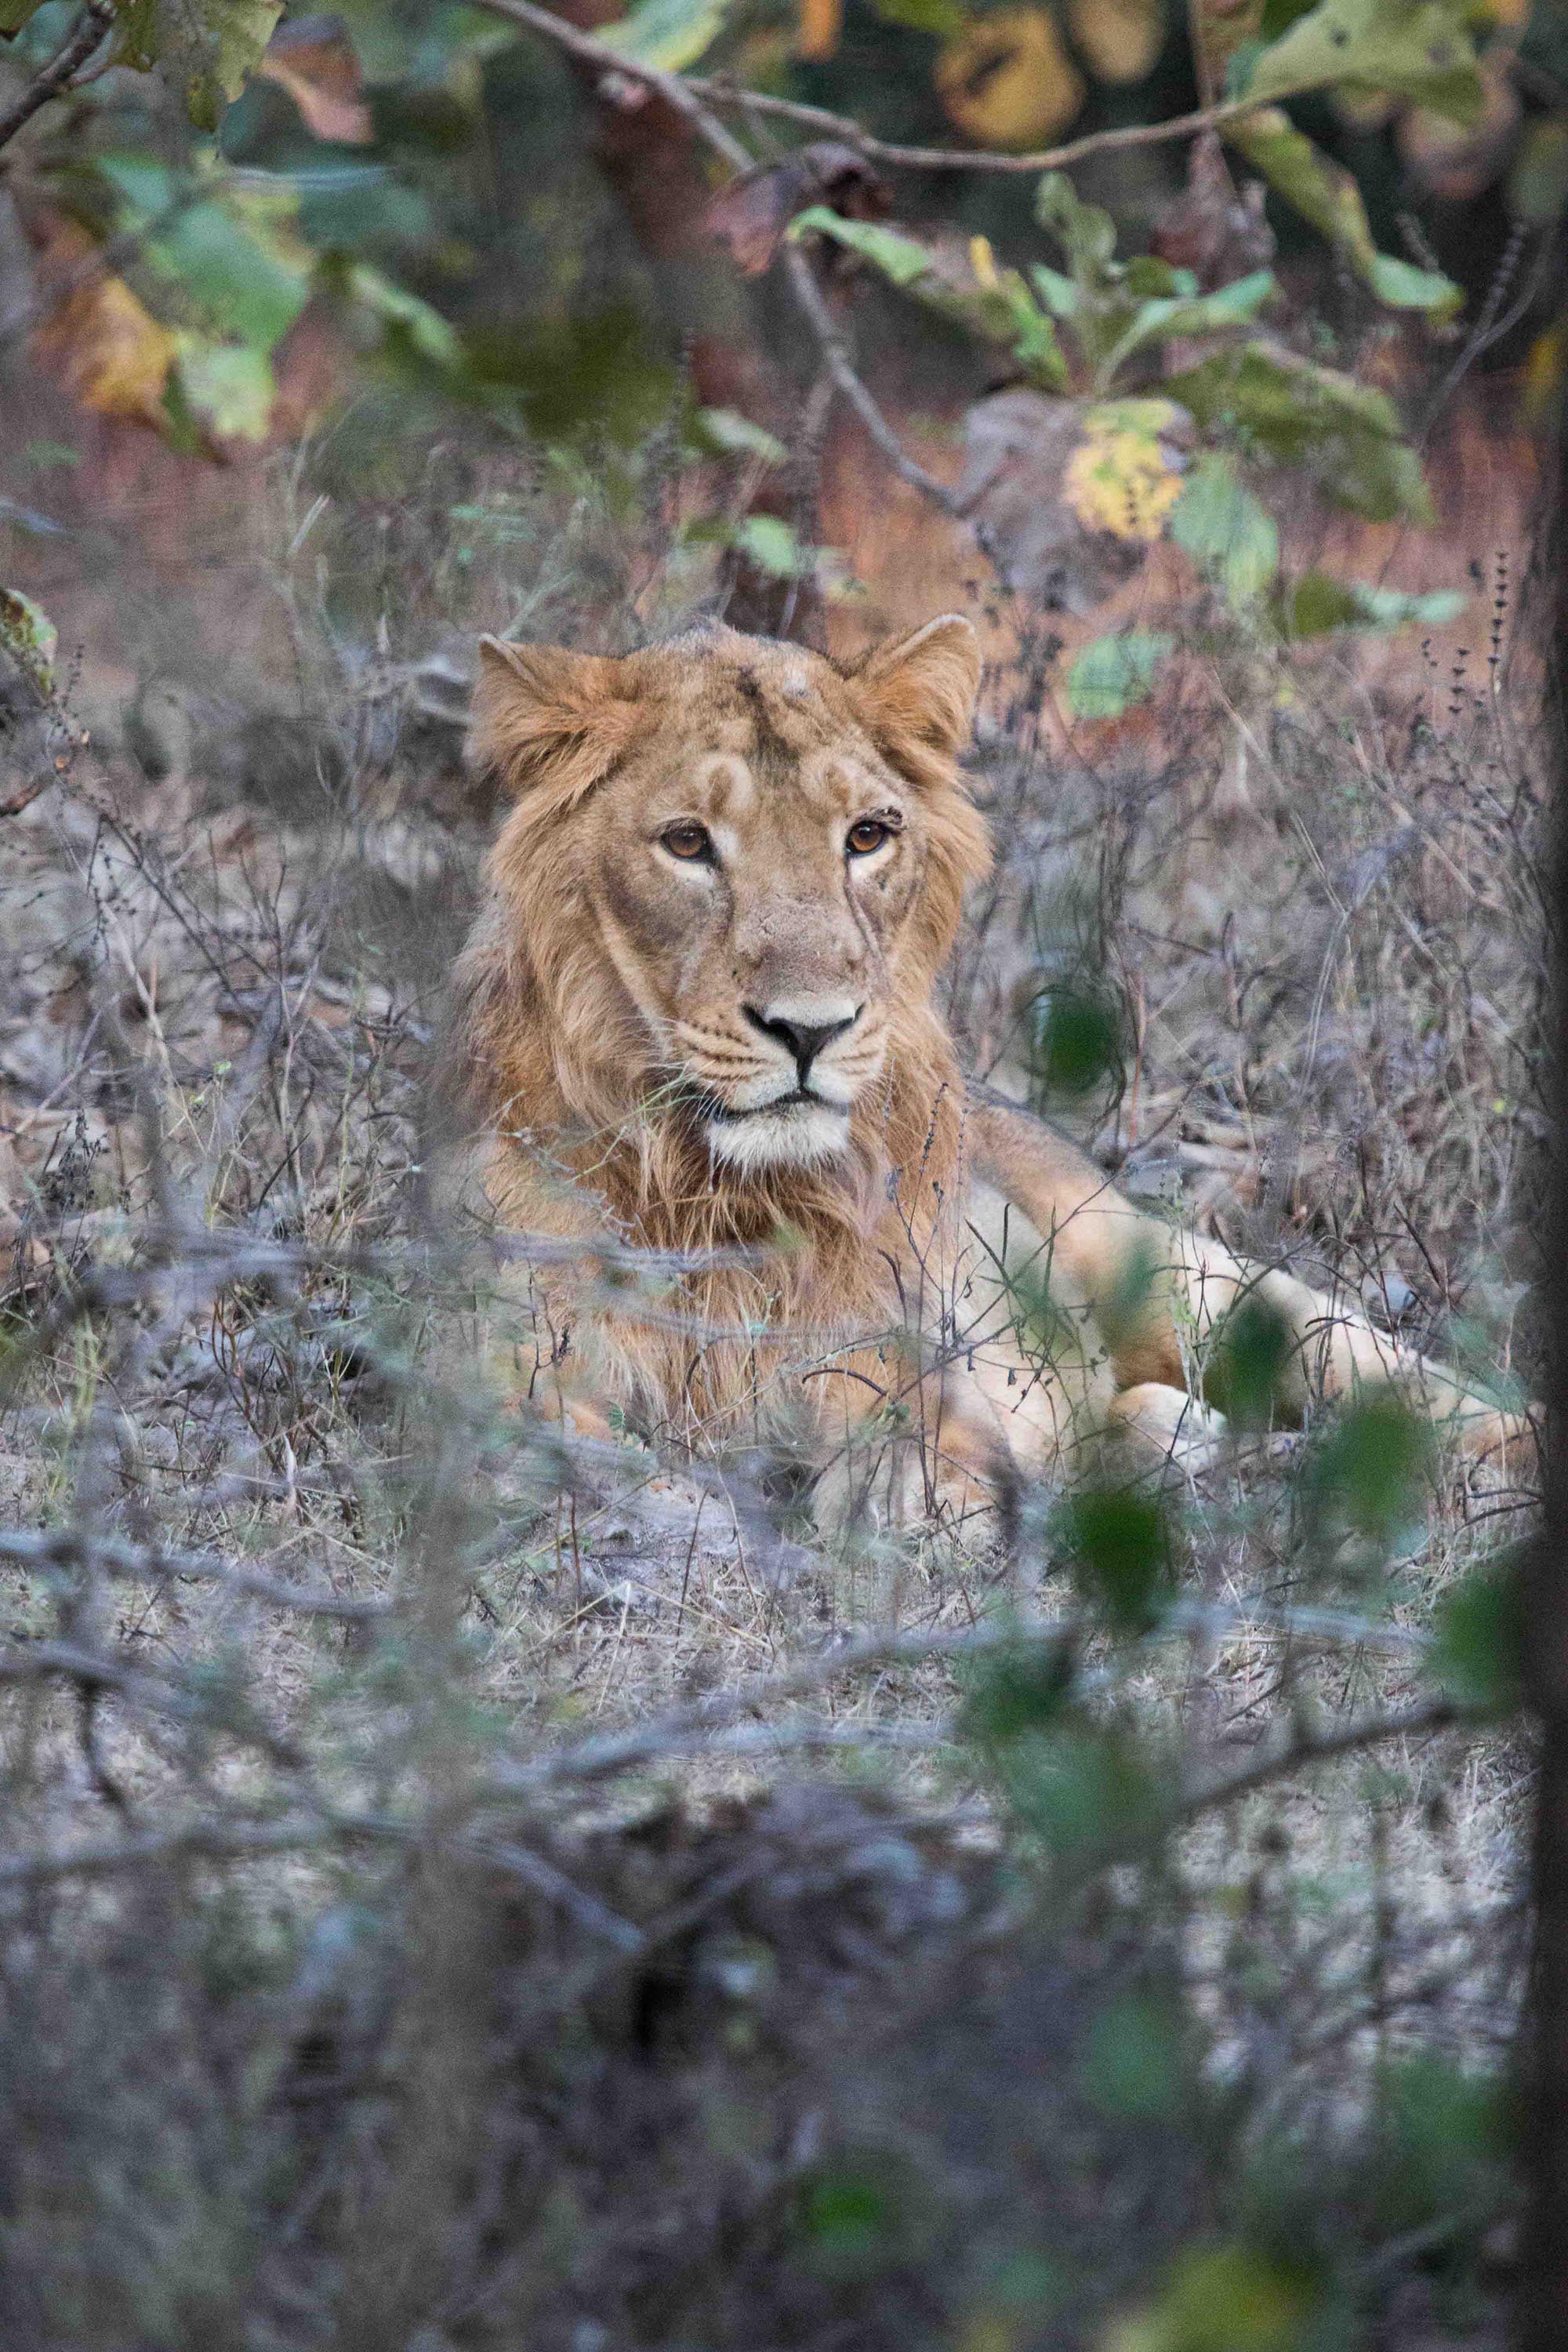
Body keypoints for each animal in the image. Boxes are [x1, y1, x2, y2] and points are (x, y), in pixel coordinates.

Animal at [444, 607, 1533, 1534]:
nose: (810, 1031)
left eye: (866, 836)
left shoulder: (910, 1366)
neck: (714, 1193)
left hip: (1195, 1283)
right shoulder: (485, 1366)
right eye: (685, 842)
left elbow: (918, 1469)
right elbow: (562, 1455)